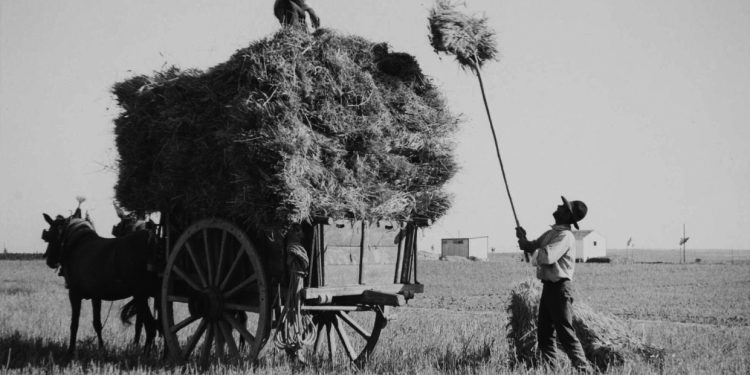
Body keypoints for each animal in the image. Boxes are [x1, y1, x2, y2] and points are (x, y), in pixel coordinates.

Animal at [41, 212, 160, 356]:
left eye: (51, 235)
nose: (50, 261)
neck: (76, 244)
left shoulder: (74, 294)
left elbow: (74, 323)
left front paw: (71, 350)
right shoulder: (96, 296)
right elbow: (97, 324)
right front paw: (102, 349)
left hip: (140, 294)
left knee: (151, 326)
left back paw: (145, 354)